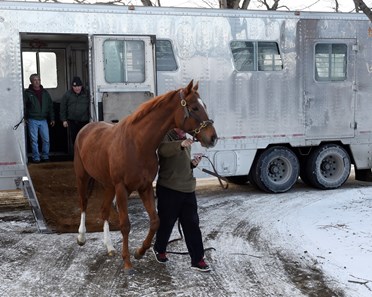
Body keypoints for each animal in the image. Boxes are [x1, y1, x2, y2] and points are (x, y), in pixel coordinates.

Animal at [73, 80, 217, 272]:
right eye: (194, 107)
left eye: (204, 106)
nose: (213, 138)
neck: (137, 144)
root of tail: (86, 128)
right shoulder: (121, 188)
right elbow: (125, 225)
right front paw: (127, 261)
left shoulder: (145, 186)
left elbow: (156, 221)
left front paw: (140, 252)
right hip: (83, 177)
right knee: (83, 203)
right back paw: (81, 237)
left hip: (108, 185)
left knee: (104, 211)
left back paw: (109, 246)